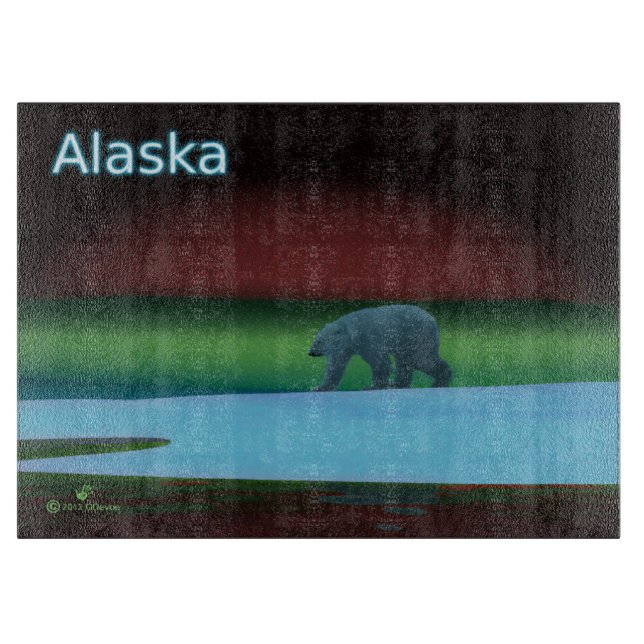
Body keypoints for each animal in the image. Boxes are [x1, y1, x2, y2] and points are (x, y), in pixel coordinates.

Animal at [308, 304, 452, 391]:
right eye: (315, 339)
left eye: (320, 341)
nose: (311, 352)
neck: (353, 331)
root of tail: (433, 320)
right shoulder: (344, 349)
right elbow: (335, 367)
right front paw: (319, 387)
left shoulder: (369, 339)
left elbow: (381, 363)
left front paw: (372, 386)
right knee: (415, 362)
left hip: (415, 336)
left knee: (418, 360)